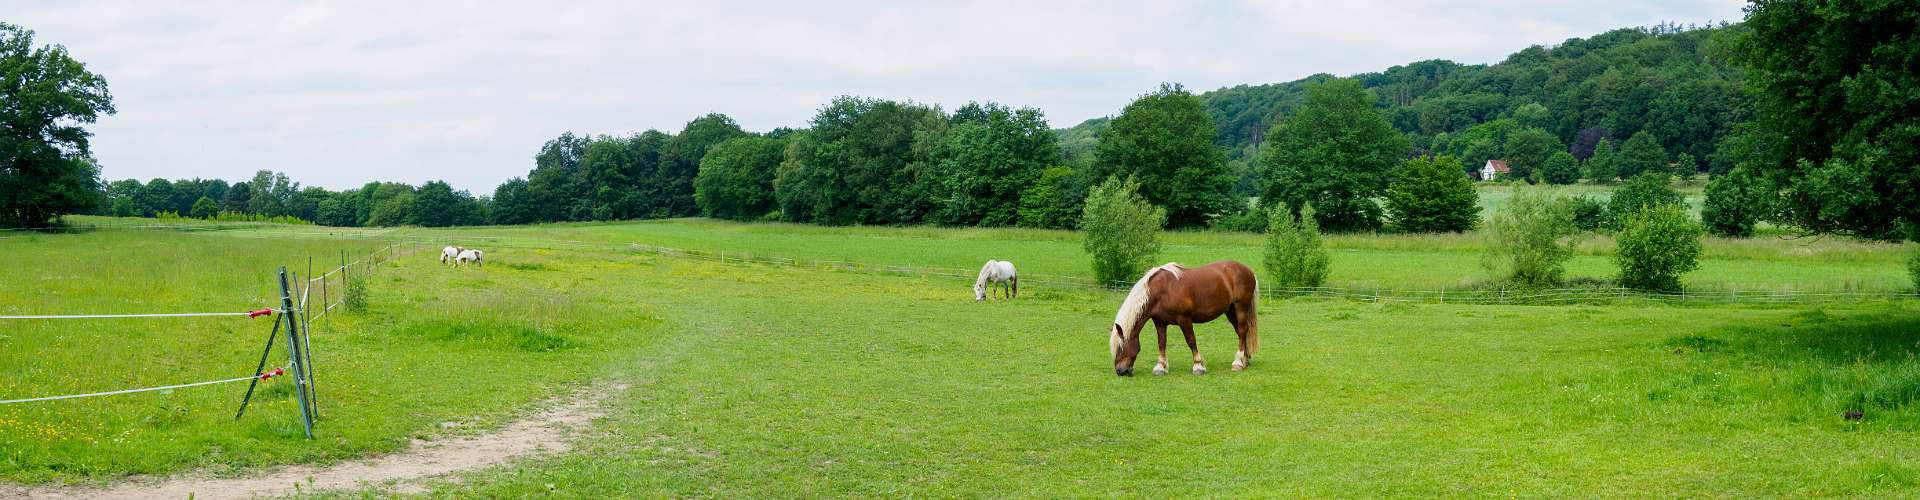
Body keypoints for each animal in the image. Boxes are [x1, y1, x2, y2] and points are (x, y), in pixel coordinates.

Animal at [1113, 261, 1259, 375]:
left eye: (1120, 347)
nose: (1120, 371)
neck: (1162, 290)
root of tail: (1248, 271)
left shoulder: (1185, 320)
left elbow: (1191, 341)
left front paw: (1198, 366)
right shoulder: (1160, 322)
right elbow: (1161, 343)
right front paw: (1160, 367)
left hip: (1241, 308)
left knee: (1242, 331)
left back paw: (1238, 363)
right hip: (1230, 311)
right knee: (1241, 332)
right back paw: (1245, 360)